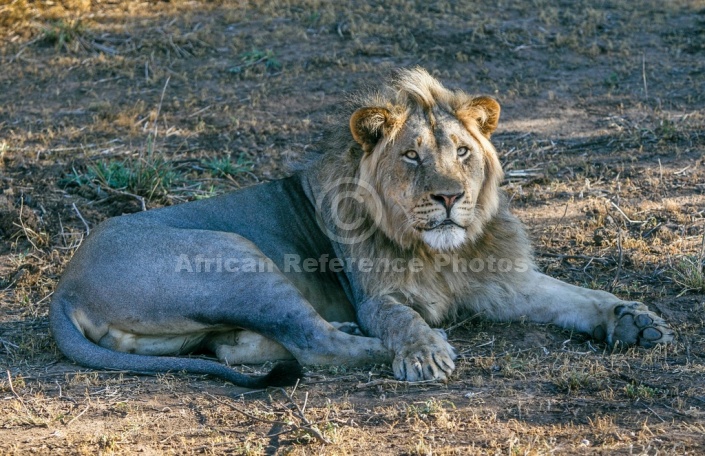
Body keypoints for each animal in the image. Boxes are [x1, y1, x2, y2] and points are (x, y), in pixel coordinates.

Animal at [49, 68, 672, 388]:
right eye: (412, 156)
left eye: (463, 152)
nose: (449, 197)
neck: (442, 251)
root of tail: (64, 287)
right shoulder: (378, 295)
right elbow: (399, 318)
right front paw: (422, 353)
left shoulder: (503, 281)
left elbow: (579, 295)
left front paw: (635, 321)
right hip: (237, 255)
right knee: (315, 345)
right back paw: (369, 341)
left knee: (243, 347)